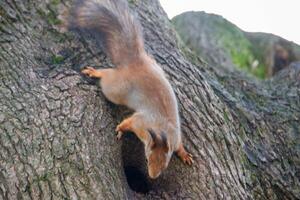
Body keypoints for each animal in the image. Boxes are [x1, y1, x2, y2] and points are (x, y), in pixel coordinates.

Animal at [63, 0, 195, 178]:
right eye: (147, 159)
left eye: (164, 165)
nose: (152, 177)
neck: (163, 131)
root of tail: (136, 63)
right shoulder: (140, 123)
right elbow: (127, 123)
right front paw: (119, 130)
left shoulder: (175, 138)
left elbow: (179, 146)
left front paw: (185, 155)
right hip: (115, 88)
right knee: (107, 77)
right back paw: (96, 72)